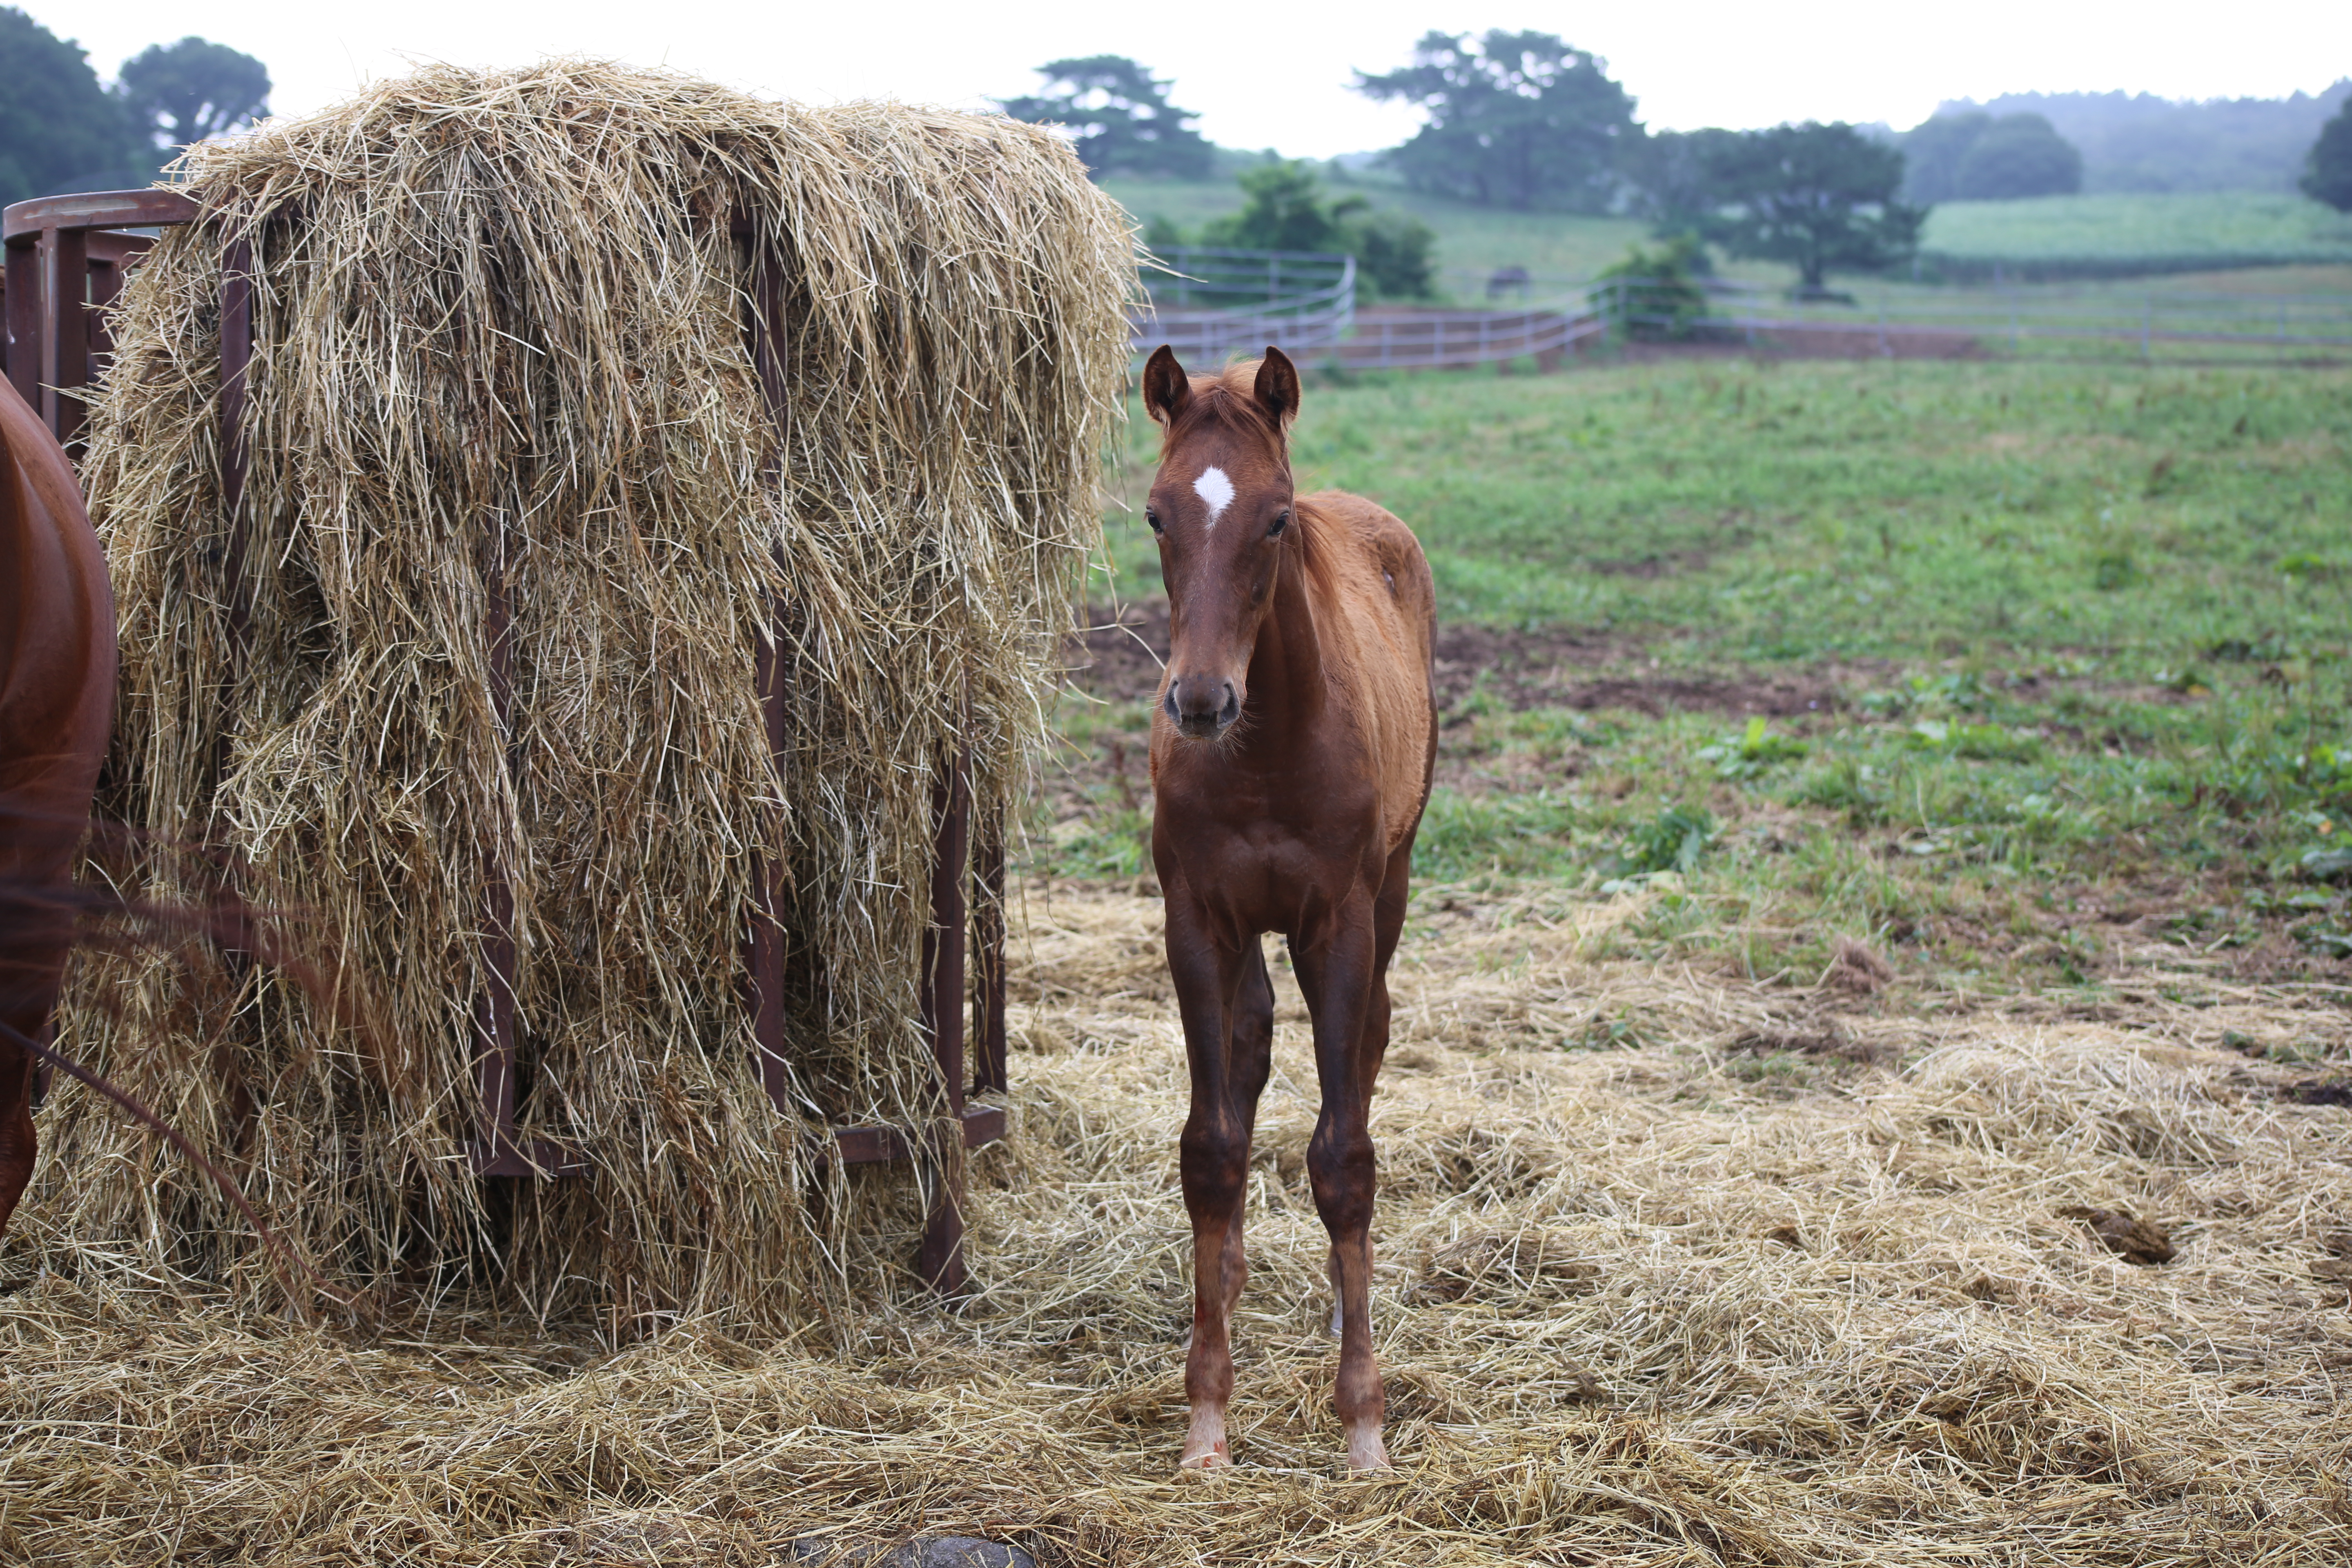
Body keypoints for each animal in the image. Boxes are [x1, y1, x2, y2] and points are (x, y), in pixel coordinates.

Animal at [1138, 343, 1430, 1476]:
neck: (1263, 749)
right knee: (1254, 1041)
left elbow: (1342, 1161)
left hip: (1391, 888)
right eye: (1156, 514)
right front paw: (1206, 1417)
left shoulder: (1338, 922)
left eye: (1273, 518)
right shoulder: (1195, 920)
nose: (1199, 701)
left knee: (1367, 1047)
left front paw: (1363, 1424)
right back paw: (1227, 1278)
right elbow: (1211, 1149)